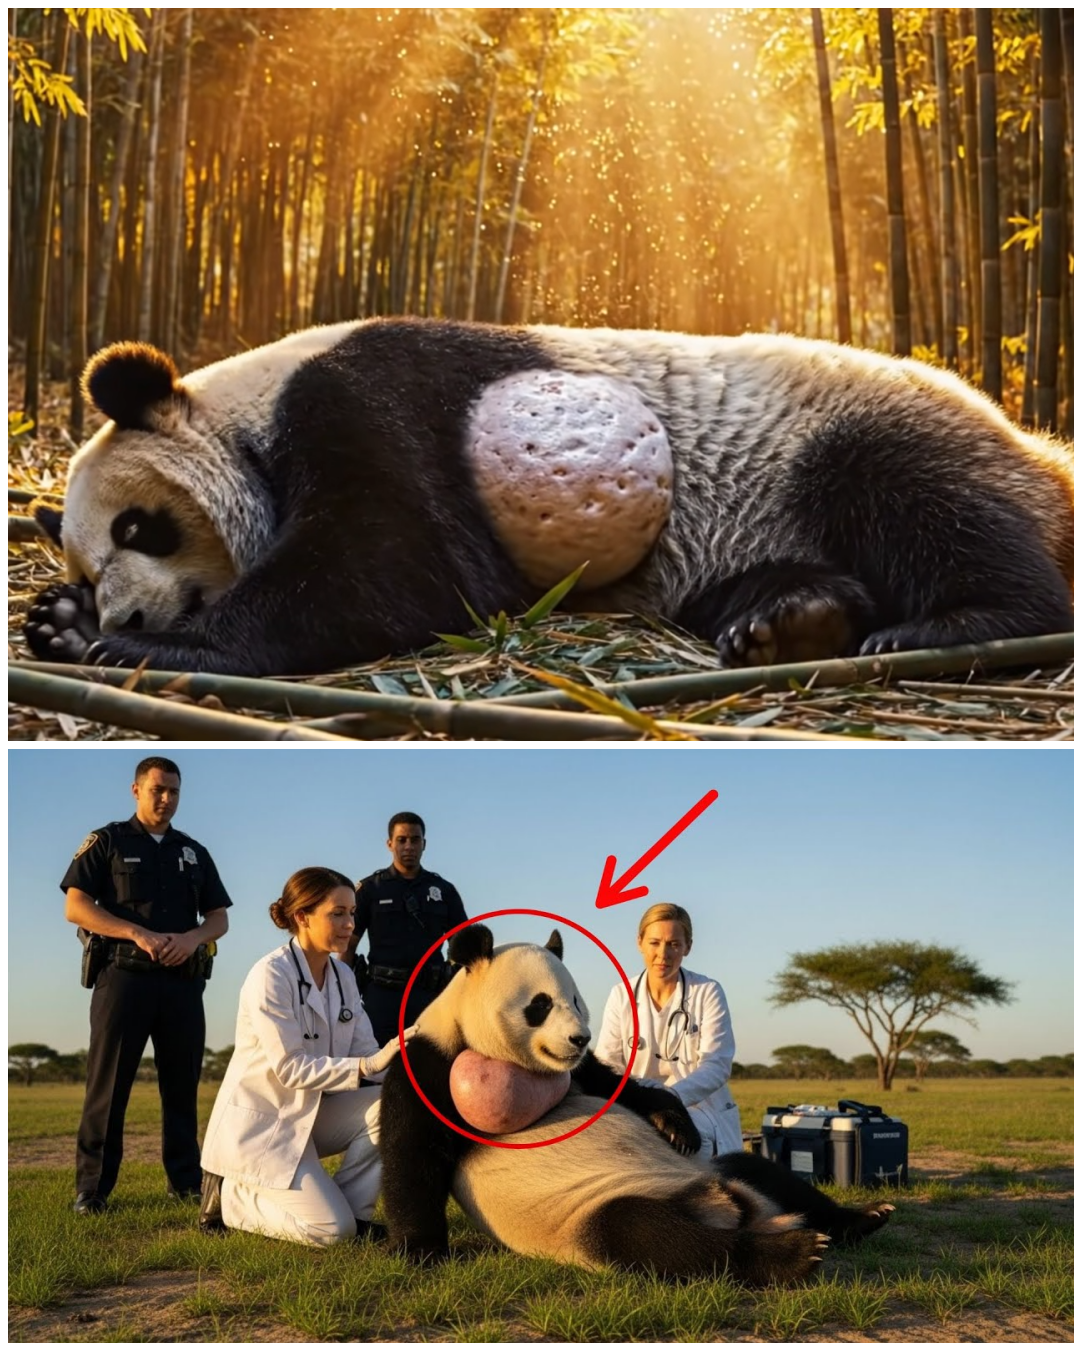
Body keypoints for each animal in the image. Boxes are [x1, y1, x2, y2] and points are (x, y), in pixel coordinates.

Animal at [25, 318, 1073, 677]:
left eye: (140, 525)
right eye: (88, 559)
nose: (124, 608)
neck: (250, 407)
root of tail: (1039, 448)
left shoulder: (375, 400)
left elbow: (393, 564)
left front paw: (144, 648)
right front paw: (60, 622)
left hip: (826, 435)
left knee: (929, 501)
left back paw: (950, 626)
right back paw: (789, 624)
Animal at [378, 924, 894, 1285]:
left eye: (576, 1000)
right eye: (540, 1005)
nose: (579, 1038)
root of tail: (733, 1209)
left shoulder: (581, 1073)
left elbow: (619, 1086)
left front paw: (675, 1125)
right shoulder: (431, 1064)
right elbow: (411, 1155)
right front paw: (420, 1252)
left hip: (714, 1170)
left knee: (762, 1173)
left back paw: (863, 1218)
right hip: (584, 1213)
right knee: (648, 1237)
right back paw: (793, 1254)